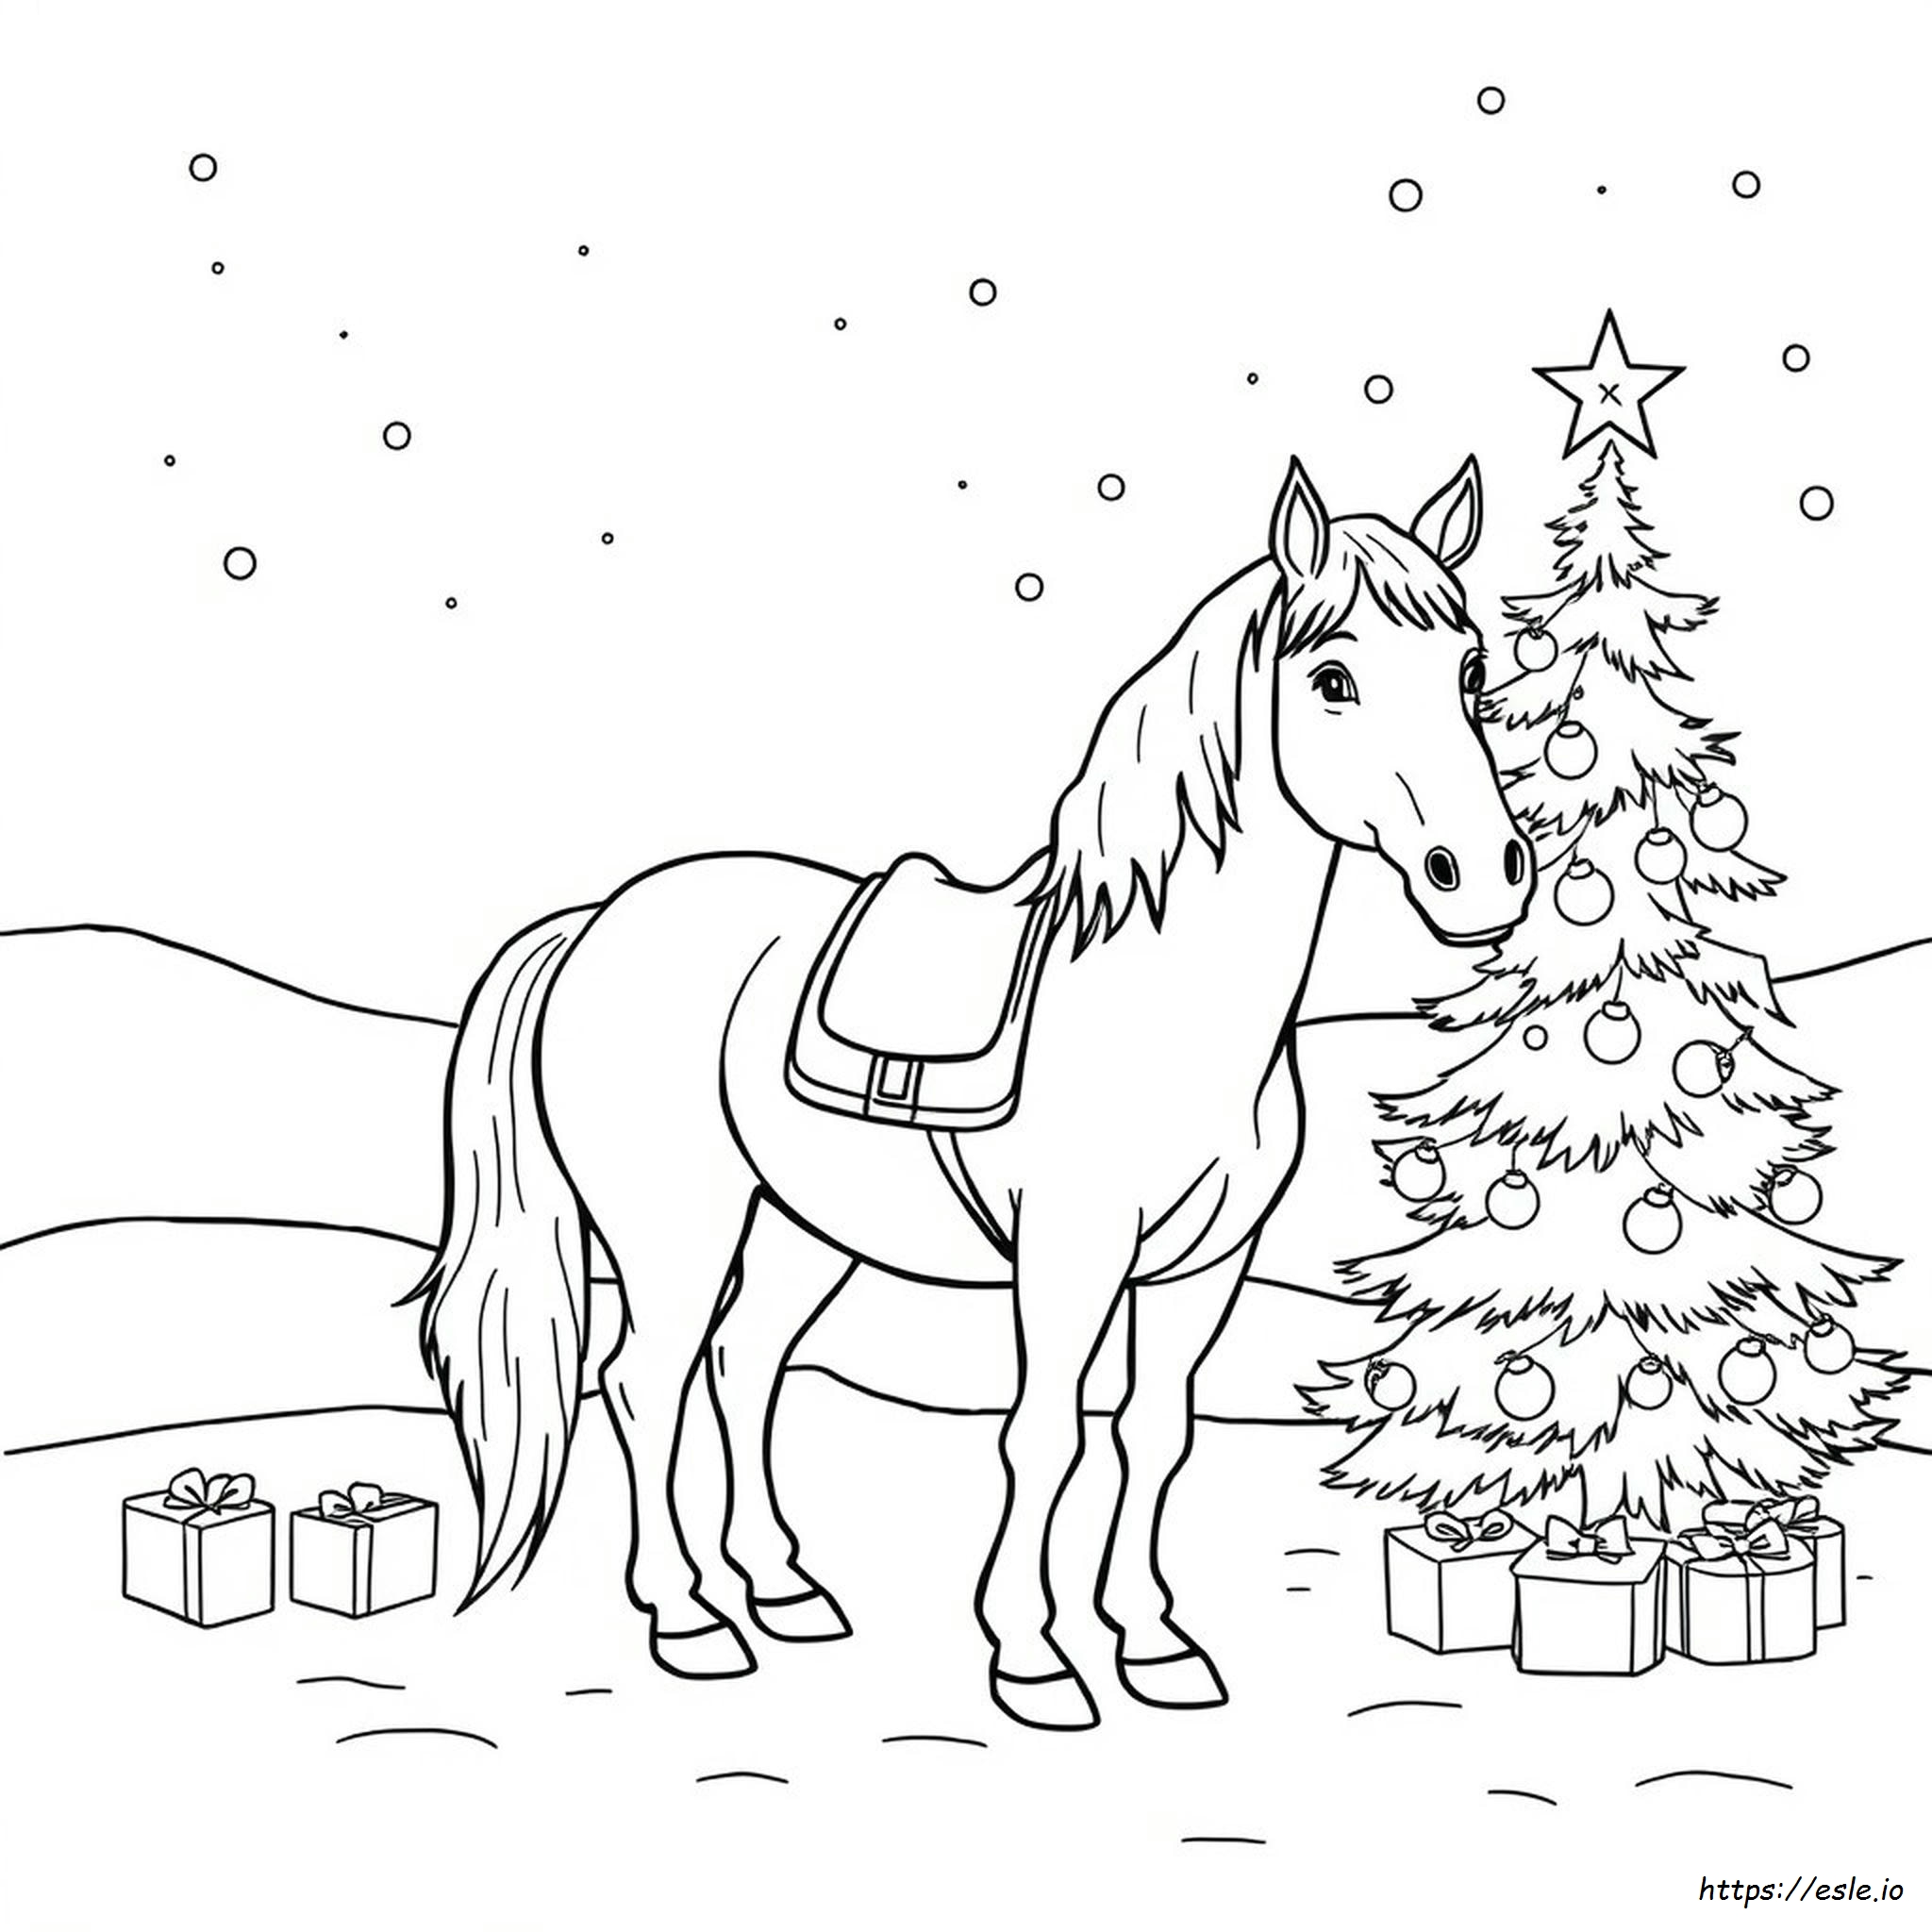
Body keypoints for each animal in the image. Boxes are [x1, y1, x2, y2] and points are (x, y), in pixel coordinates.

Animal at [411, 452, 1533, 1730]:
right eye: (1332, 679)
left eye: (1469, 670)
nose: (1482, 876)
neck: (1168, 997)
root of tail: (597, 918)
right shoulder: (1068, 1254)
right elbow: (1042, 1435)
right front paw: (1031, 1657)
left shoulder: (1203, 1265)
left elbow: (1155, 1433)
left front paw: (1154, 1643)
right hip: (672, 1228)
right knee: (645, 1382)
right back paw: (689, 1617)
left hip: (802, 1228)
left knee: (744, 1367)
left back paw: (782, 1587)